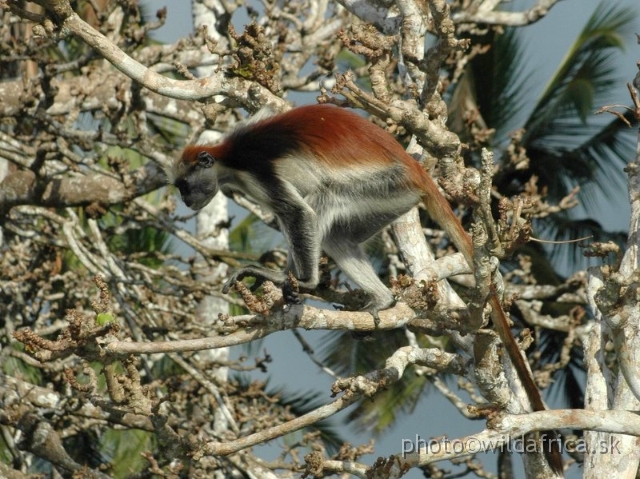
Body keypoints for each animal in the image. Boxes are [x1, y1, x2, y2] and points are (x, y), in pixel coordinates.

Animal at [172, 104, 564, 468]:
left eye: (185, 186)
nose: (187, 201)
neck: (228, 155)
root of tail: (414, 168)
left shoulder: (257, 167)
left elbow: (298, 213)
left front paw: (294, 280)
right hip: (391, 198)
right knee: (337, 235)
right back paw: (382, 299)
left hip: (384, 183)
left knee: (323, 200)